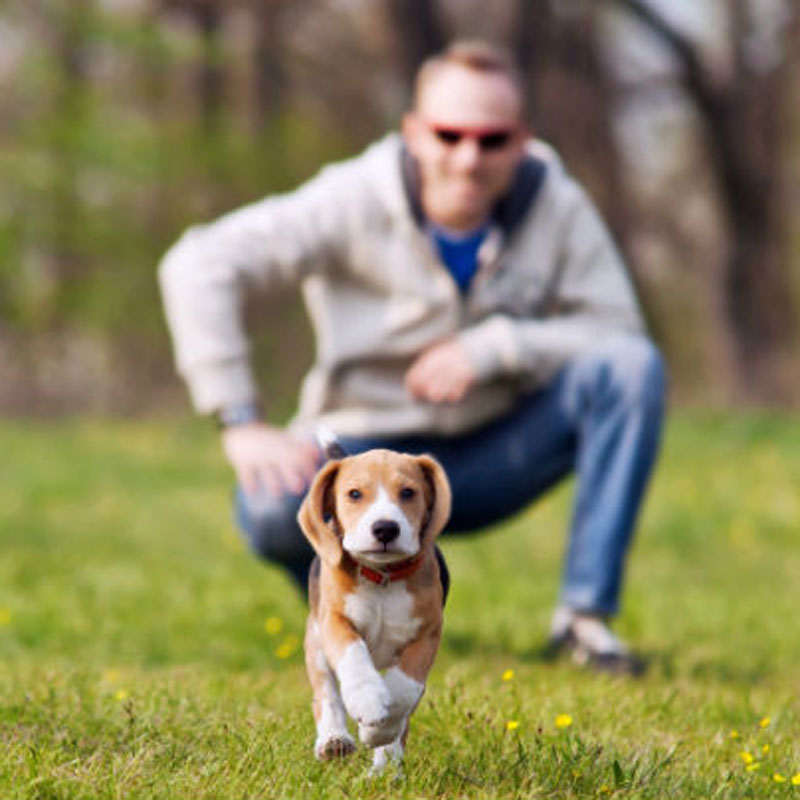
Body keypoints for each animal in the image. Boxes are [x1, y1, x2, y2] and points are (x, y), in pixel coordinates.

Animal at [296, 446, 454, 772]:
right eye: (354, 494)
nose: (385, 528)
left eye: (408, 492)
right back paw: (333, 739)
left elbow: (404, 687)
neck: (383, 577)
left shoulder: (427, 634)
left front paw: (378, 731)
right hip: (315, 644)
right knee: (326, 694)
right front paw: (367, 699)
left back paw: (385, 768)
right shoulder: (334, 620)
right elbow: (353, 654)